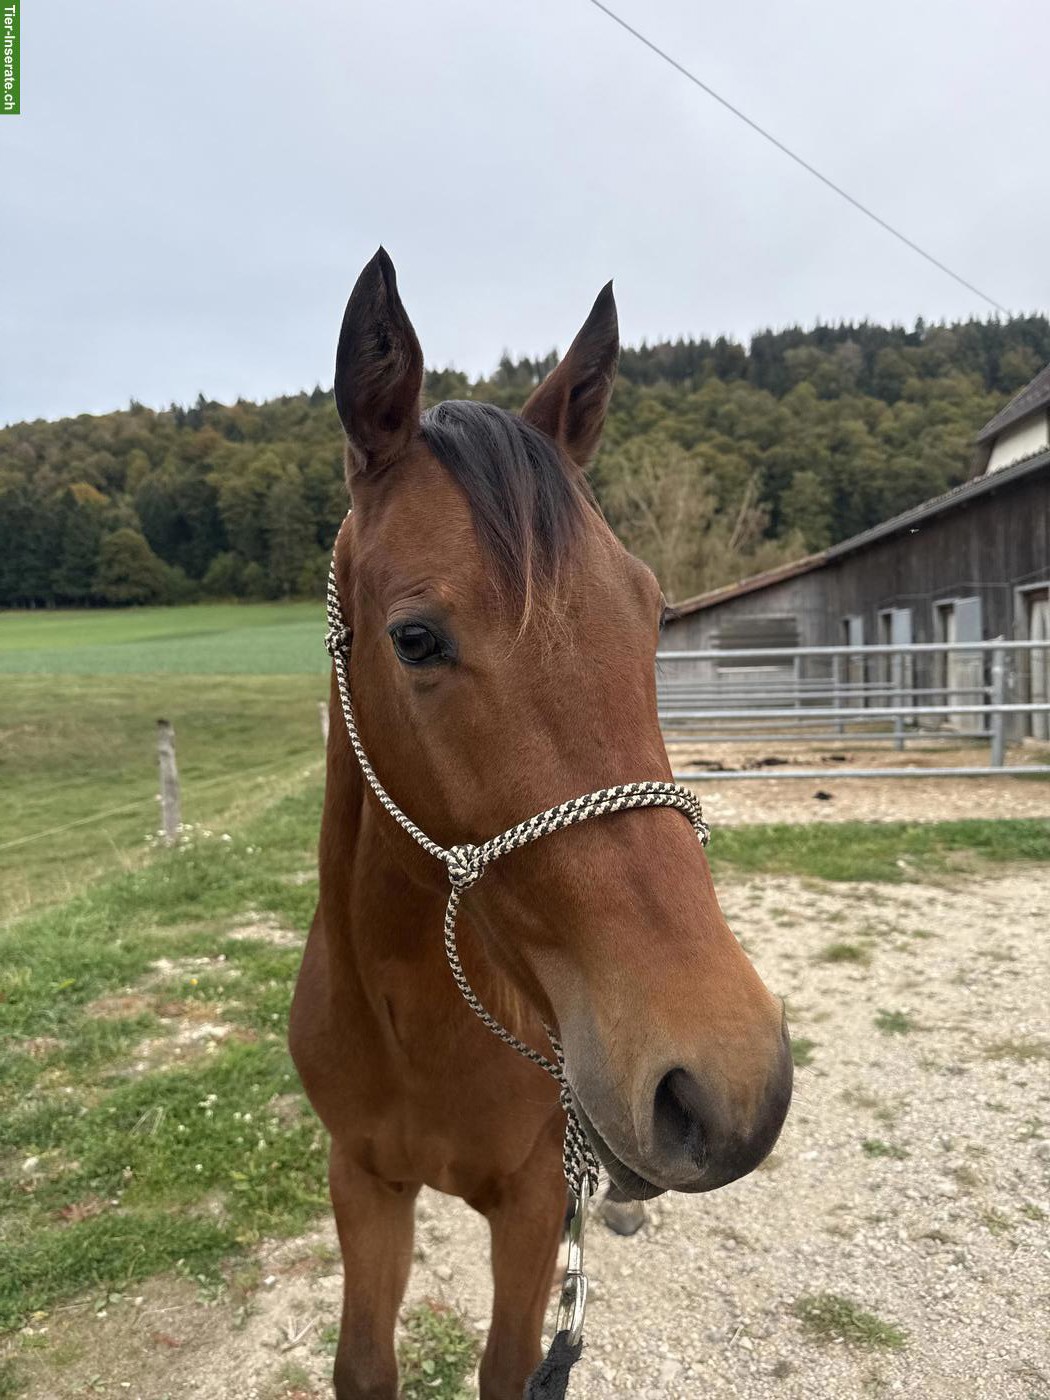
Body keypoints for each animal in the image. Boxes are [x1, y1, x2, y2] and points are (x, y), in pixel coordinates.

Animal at [289, 248, 792, 1400]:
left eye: (652, 611)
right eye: (414, 638)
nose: (731, 1081)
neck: (413, 1018)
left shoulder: (528, 1205)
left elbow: (513, 1365)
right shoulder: (363, 1179)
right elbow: (363, 1363)